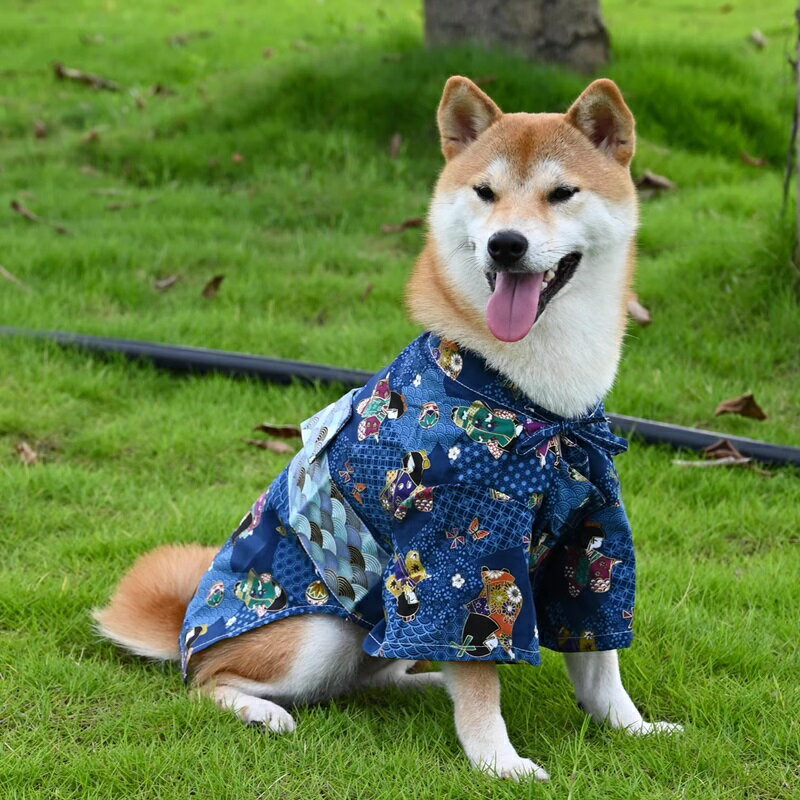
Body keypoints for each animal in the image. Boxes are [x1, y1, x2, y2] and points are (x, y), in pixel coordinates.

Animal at [94, 76, 680, 780]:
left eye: (562, 193)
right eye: (485, 193)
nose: (505, 243)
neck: (538, 404)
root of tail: (187, 623)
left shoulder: (591, 536)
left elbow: (600, 661)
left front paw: (634, 728)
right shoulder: (459, 553)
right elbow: (480, 680)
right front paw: (499, 762)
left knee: (373, 671)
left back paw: (422, 683)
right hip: (316, 635)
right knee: (211, 680)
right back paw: (262, 710)